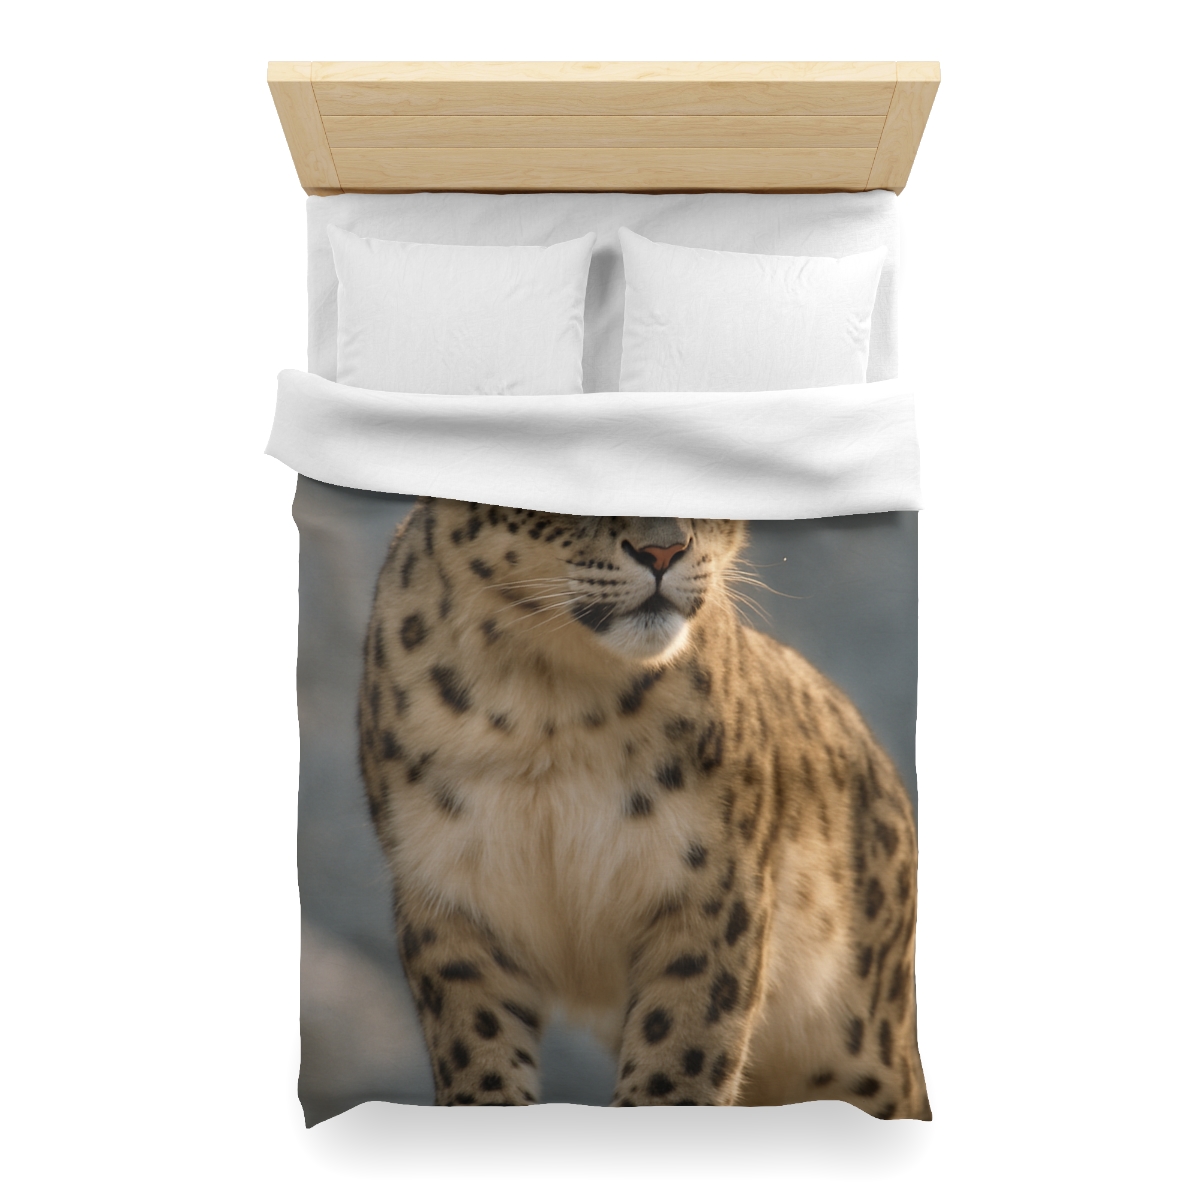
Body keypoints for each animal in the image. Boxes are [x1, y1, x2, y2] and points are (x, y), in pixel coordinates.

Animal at [358, 499, 929, 1116]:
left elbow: (678, 1056)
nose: (663, 551)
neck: (548, 700)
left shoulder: (712, 890)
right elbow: (477, 1047)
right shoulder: (449, 894)